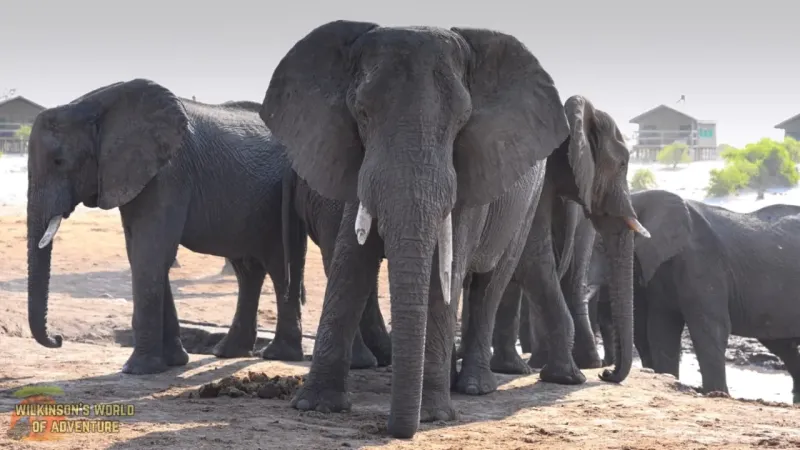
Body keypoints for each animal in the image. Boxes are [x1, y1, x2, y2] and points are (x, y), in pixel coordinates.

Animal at [26, 80, 307, 374]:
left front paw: (136, 370)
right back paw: (228, 351)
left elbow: (150, 254)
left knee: (280, 267)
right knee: (248, 271)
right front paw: (174, 362)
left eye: (59, 161)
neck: (93, 105)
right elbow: (144, 255)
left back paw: (277, 355)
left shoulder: (169, 172)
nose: (58, 339)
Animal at [260, 20, 647, 438]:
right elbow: (351, 263)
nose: (608, 375)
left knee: (490, 282)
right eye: (361, 114)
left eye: (463, 122)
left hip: (520, 206)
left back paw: (477, 386)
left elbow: (449, 268)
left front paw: (433, 416)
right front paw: (315, 406)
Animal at [588, 189, 800, 396]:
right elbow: (662, 329)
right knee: (783, 346)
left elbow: (709, 327)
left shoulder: (703, 262)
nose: (605, 373)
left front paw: (716, 394)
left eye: (600, 247)